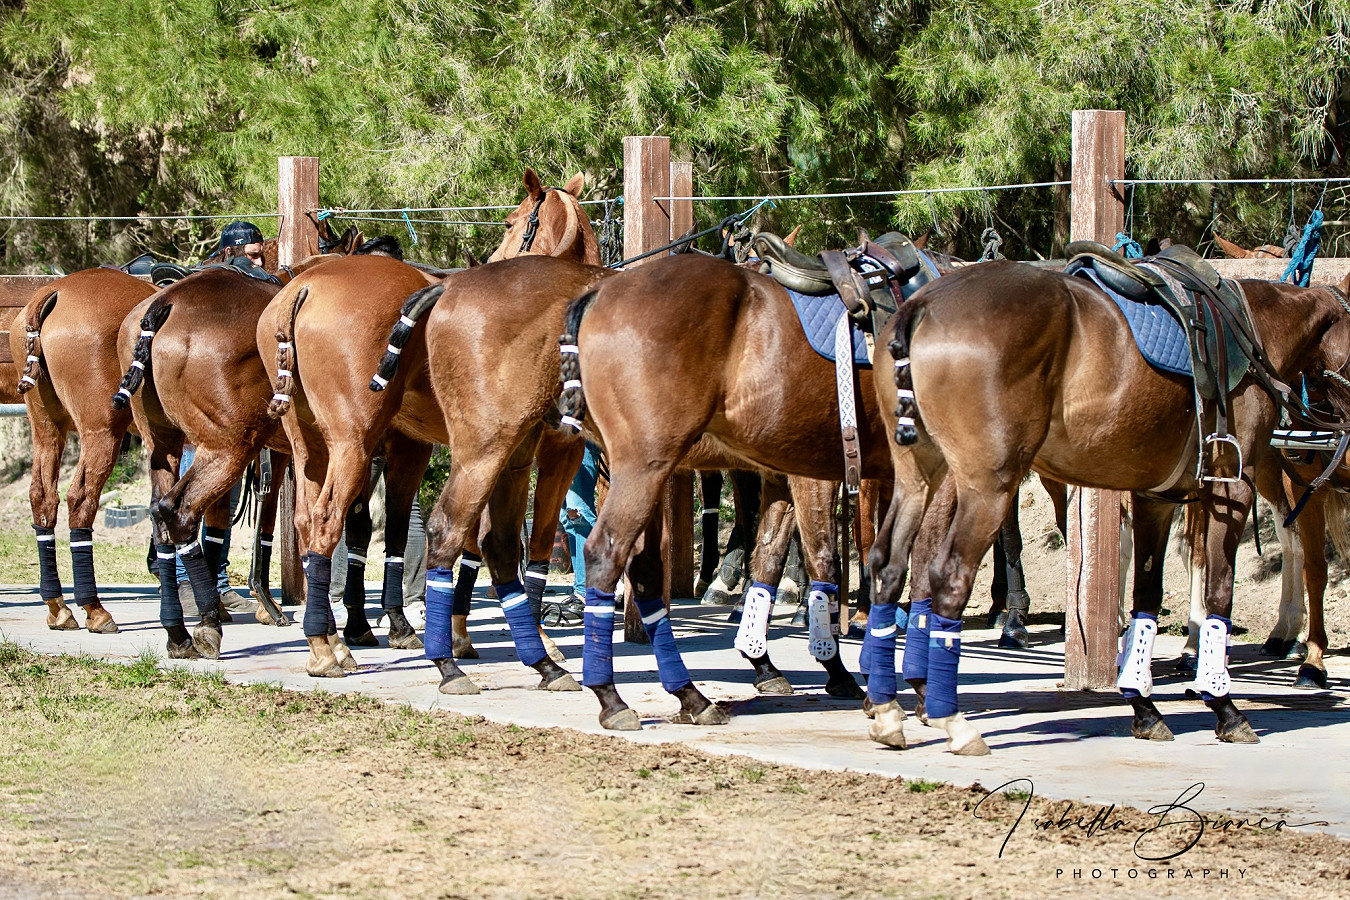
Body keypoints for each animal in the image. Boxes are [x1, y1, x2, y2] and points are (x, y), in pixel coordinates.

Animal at [9, 267, 157, 633]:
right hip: (101, 432)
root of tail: (54, 290)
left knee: (43, 497)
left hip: (47, 429)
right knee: (80, 499)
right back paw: (94, 607)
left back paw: (58, 606)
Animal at [261, 169, 598, 681]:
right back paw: (327, 643)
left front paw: (457, 631)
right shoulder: (546, 449)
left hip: (313, 447)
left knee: (310, 520)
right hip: (353, 446)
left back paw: (332, 639)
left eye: (509, 223)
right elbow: (516, 538)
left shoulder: (462, 451)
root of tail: (303, 291)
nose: (490, 265)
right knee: (327, 521)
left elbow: (464, 538)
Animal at [868, 256, 1350, 755]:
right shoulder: (1230, 491)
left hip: (919, 478)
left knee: (889, 564)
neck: (1253, 329)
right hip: (987, 487)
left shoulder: (1157, 498)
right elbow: (1219, 594)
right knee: (948, 577)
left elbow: (1147, 598)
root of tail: (922, 305)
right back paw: (955, 721)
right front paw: (1224, 706)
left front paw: (1143, 705)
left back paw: (888, 710)